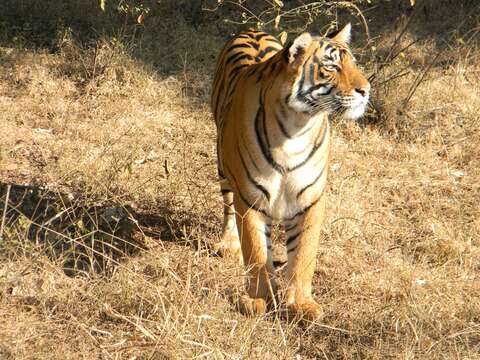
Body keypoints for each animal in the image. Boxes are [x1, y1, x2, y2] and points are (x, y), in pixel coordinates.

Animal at [211, 23, 372, 320]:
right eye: (331, 66)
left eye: (353, 63)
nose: (365, 90)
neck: (297, 127)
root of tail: (251, 30)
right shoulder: (250, 197)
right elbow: (256, 251)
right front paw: (260, 299)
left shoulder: (310, 199)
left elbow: (304, 254)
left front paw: (300, 303)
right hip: (223, 165)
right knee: (227, 204)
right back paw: (228, 243)